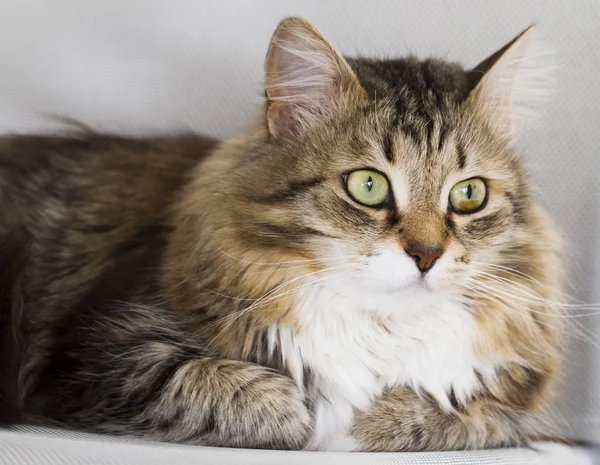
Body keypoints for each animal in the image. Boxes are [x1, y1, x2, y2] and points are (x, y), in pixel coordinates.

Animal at [0, 17, 564, 450]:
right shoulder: (100, 352)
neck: (377, 326)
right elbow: (258, 398)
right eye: (368, 185)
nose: (427, 255)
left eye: (469, 195)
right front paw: (320, 423)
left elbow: (464, 415)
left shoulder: (509, 406)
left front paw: (372, 423)